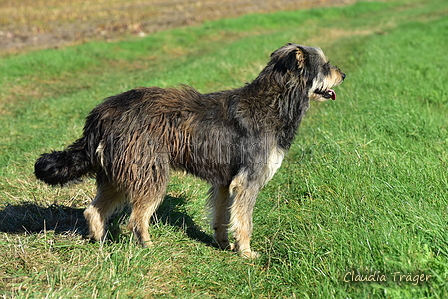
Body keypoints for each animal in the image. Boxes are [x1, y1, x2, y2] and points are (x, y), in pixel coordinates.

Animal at [35, 43, 344, 258]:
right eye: (325, 65)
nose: (343, 74)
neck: (273, 101)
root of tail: (101, 113)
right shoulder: (248, 180)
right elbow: (244, 221)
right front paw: (246, 252)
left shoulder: (225, 182)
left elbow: (222, 217)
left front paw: (223, 244)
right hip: (150, 172)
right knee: (136, 219)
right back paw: (147, 246)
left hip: (118, 172)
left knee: (93, 211)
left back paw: (100, 243)